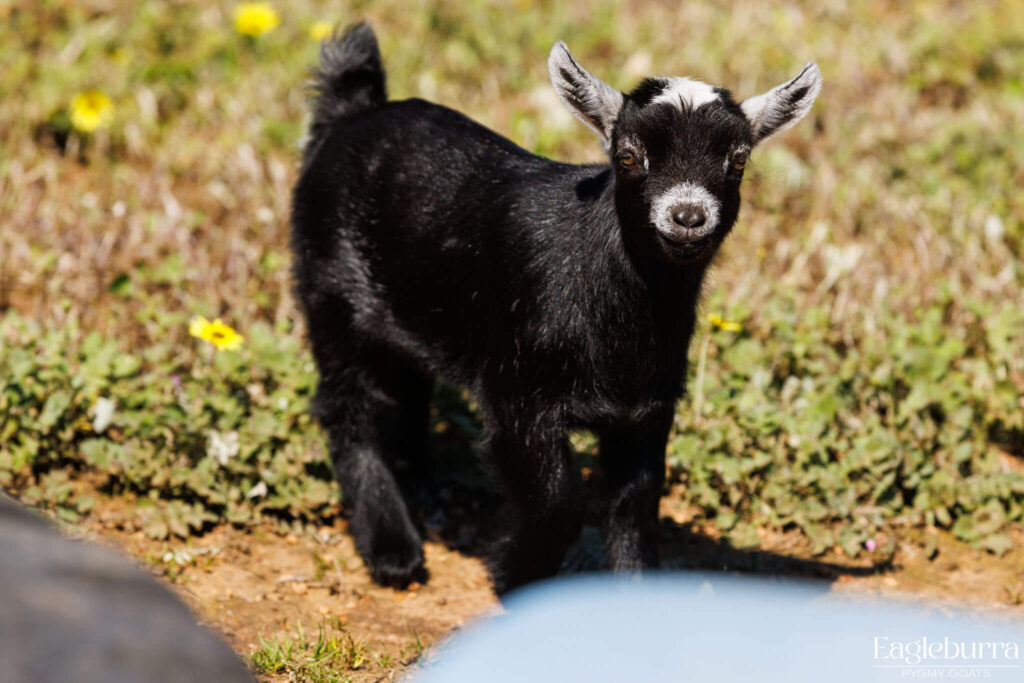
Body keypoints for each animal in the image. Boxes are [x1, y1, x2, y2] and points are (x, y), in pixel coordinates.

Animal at [291, 23, 821, 594]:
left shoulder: (646, 410)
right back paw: (394, 550)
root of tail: (354, 109)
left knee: (408, 383)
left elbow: (634, 508)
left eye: (738, 160)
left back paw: (424, 485)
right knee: (348, 406)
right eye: (628, 155)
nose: (687, 216)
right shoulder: (518, 398)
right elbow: (556, 503)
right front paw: (516, 577)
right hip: (333, 292)